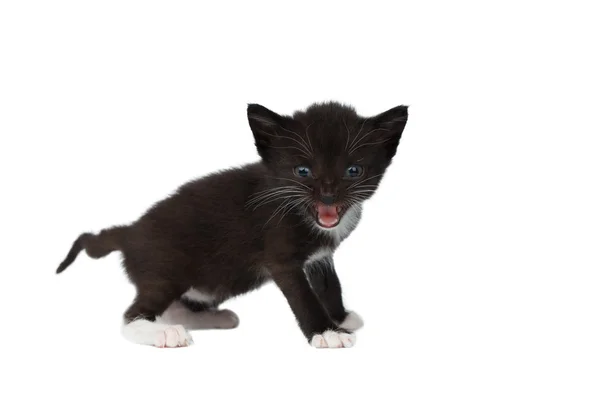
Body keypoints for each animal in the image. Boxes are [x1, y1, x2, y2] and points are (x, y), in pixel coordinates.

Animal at [56, 101, 408, 348]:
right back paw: (165, 334)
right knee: (132, 315)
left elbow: (329, 283)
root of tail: (129, 231)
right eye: (303, 171)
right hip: (165, 271)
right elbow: (305, 296)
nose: (328, 194)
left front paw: (341, 317)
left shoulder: (320, 255)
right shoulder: (282, 259)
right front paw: (327, 333)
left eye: (353, 171)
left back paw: (213, 318)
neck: (303, 212)